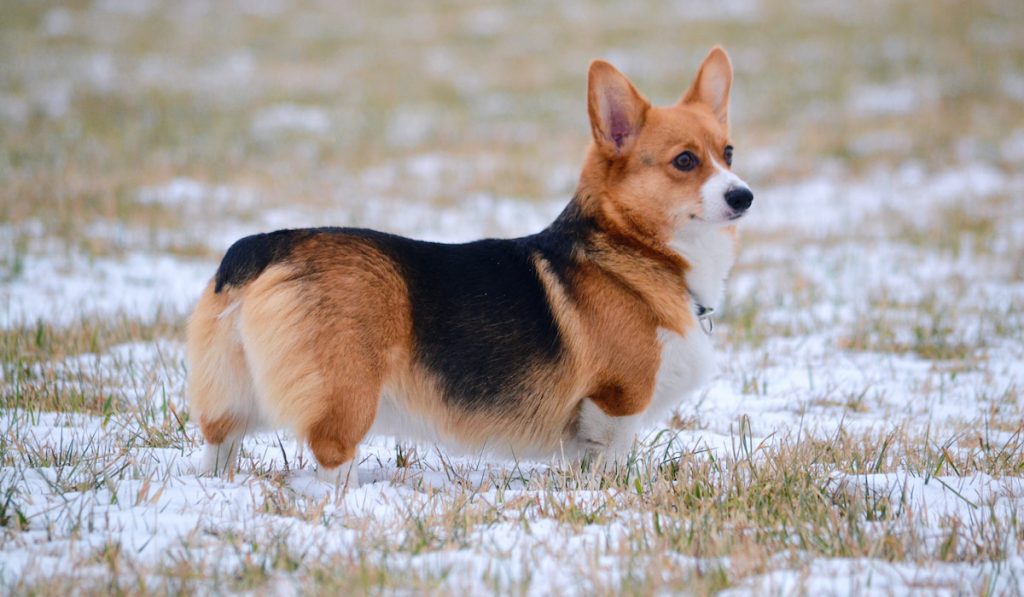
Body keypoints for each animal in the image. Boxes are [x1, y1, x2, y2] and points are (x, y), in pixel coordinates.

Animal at [186, 45, 753, 485]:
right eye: (684, 161)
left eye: (727, 152)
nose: (744, 196)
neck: (635, 250)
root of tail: (264, 247)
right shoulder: (616, 403)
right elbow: (609, 460)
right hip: (345, 393)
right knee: (330, 455)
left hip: (230, 393)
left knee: (219, 441)